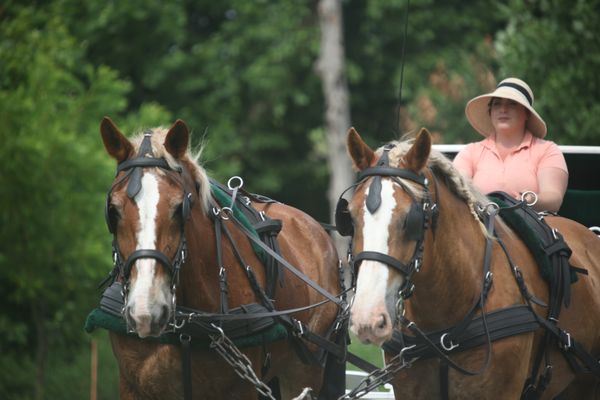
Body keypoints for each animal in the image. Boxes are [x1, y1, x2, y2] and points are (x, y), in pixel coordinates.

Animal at [101, 119, 340, 400]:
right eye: (113, 210)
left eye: (179, 207)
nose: (146, 310)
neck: (186, 322)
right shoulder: (132, 386)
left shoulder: (241, 388)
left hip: (303, 370)